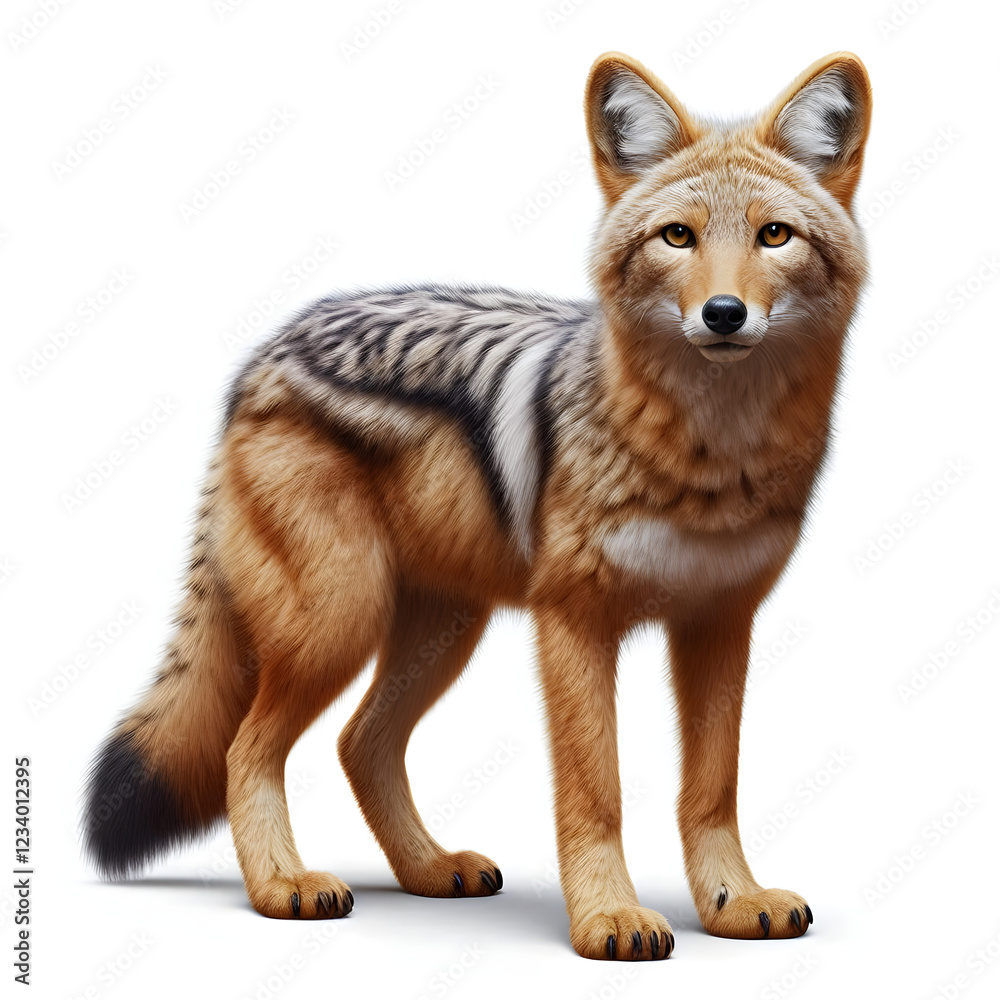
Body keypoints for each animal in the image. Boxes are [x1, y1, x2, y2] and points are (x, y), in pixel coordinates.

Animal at [84, 50, 871, 960]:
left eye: (774, 236)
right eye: (679, 237)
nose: (723, 314)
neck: (710, 456)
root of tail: (263, 355)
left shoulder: (720, 623)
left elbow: (712, 788)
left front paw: (731, 902)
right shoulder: (573, 624)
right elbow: (595, 790)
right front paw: (608, 918)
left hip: (442, 630)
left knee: (360, 743)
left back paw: (430, 870)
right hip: (340, 619)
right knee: (247, 749)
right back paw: (285, 885)